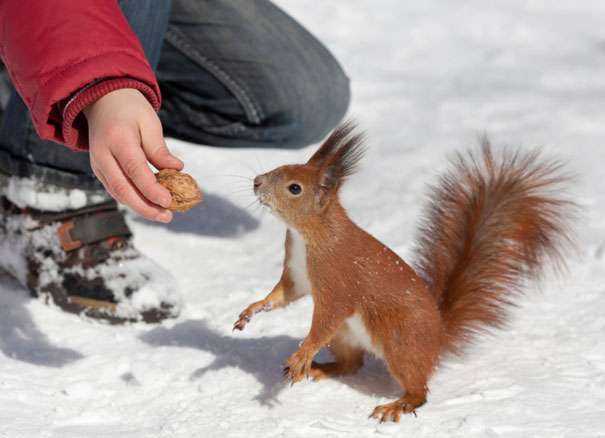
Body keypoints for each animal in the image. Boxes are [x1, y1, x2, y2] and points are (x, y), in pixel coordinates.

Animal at [231, 121, 572, 422]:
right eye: (283, 166)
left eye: (294, 188)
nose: (257, 182)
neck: (311, 233)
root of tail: (438, 338)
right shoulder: (299, 273)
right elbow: (284, 295)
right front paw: (252, 310)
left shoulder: (337, 280)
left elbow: (325, 319)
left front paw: (302, 353)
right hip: (346, 336)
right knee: (352, 364)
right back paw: (322, 368)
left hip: (400, 343)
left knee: (418, 389)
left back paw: (397, 405)